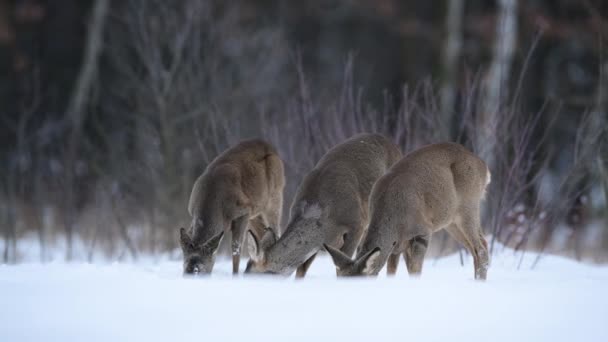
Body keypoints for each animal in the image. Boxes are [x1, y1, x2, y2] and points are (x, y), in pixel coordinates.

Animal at [178, 139, 284, 276]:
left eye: (199, 269)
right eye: (184, 266)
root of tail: (270, 146)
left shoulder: (243, 211)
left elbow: (236, 247)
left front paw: (235, 276)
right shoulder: (192, 213)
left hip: (275, 195)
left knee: (276, 230)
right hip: (256, 211)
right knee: (263, 232)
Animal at [326, 143, 492, 280]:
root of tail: (484, 167)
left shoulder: (422, 232)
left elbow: (415, 271)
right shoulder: (397, 246)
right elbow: (392, 271)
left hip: (468, 207)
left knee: (481, 248)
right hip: (450, 221)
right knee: (476, 248)